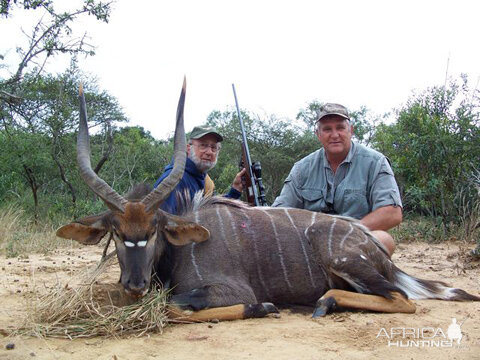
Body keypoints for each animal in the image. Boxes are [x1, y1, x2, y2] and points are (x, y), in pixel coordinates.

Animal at [57, 79, 480, 320]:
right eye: (115, 231)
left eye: (156, 229)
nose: (134, 283)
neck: (179, 250)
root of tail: (374, 248)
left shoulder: (228, 290)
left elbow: (177, 306)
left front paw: (263, 307)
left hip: (348, 263)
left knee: (403, 298)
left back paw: (325, 302)